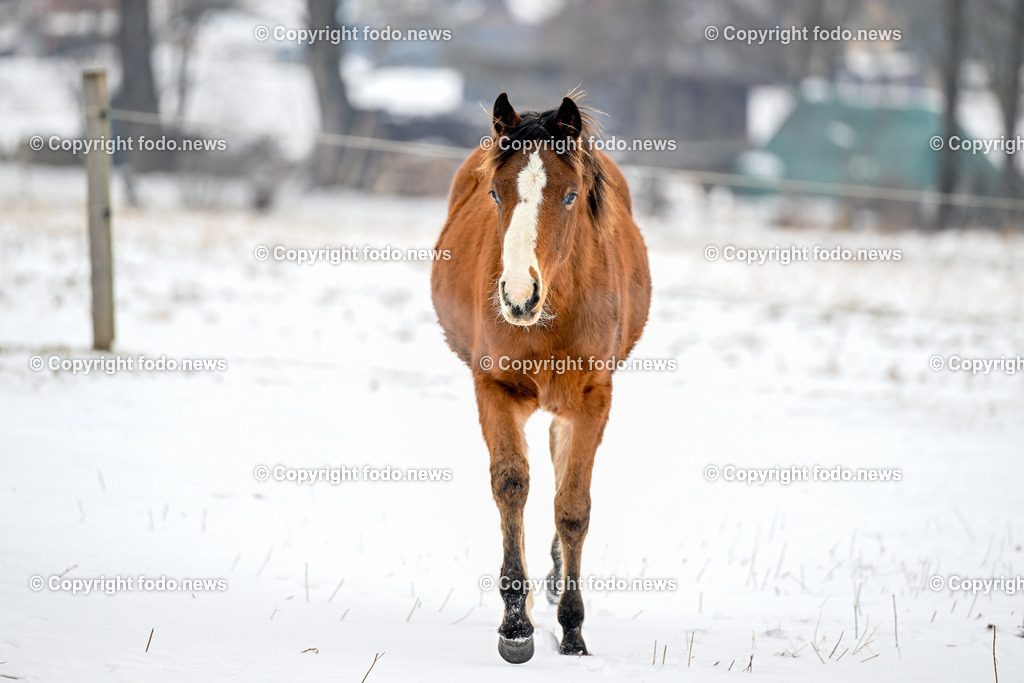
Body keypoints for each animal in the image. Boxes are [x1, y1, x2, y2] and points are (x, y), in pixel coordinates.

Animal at [431, 91, 651, 663]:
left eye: (570, 196)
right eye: (494, 192)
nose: (517, 296)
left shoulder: (594, 399)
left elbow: (573, 508)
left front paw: (572, 631)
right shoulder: (494, 388)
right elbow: (511, 485)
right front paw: (516, 626)